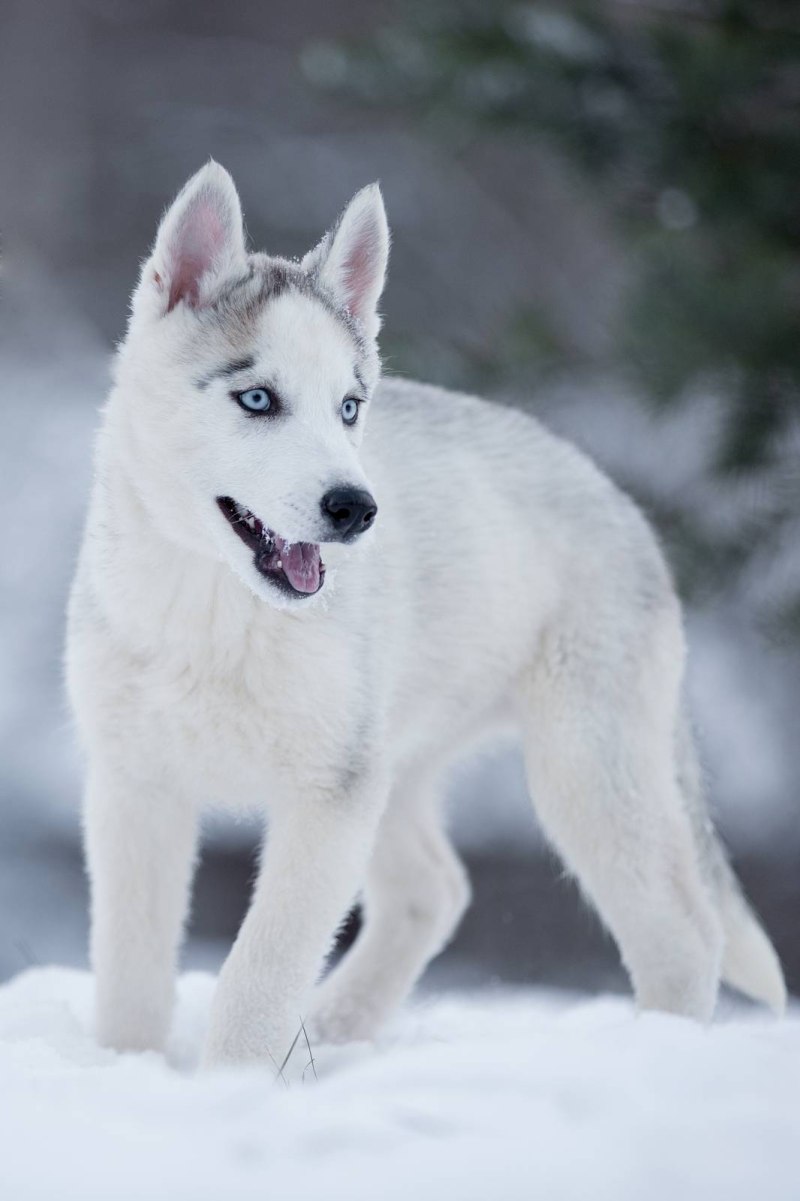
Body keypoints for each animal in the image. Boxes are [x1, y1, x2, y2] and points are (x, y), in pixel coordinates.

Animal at [65, 159, 783, 1071]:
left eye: (349, 407)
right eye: (257, 399)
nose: (355, 507)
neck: (215, 607)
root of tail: (617, 495)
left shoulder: (327, 794)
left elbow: (258, 973)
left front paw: (234, 1081)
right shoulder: (136, 784)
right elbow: (130, 972)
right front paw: (129, 1070)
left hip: (587, 762)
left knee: (683, 934)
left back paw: (656, 1056)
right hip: (404, 760)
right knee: (432, 890)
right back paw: (336, 1028)